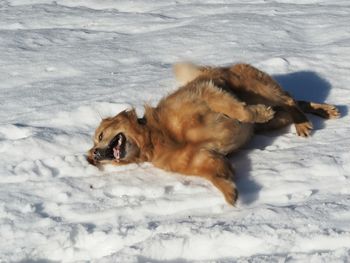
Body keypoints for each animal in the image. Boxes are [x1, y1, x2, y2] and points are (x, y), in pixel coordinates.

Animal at [87, 62, 340, 206]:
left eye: (99, 136)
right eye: (92, 149)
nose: (93, 156)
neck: (156, 137)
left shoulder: (207, 94)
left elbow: (240, 111)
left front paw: (257, 113)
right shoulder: (203, 157)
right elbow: (214, 175)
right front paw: (230, 192)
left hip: (258, 89)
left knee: (289, 100)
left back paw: (304, 122)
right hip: (275, 119)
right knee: (295, 102)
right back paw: (324, 111)